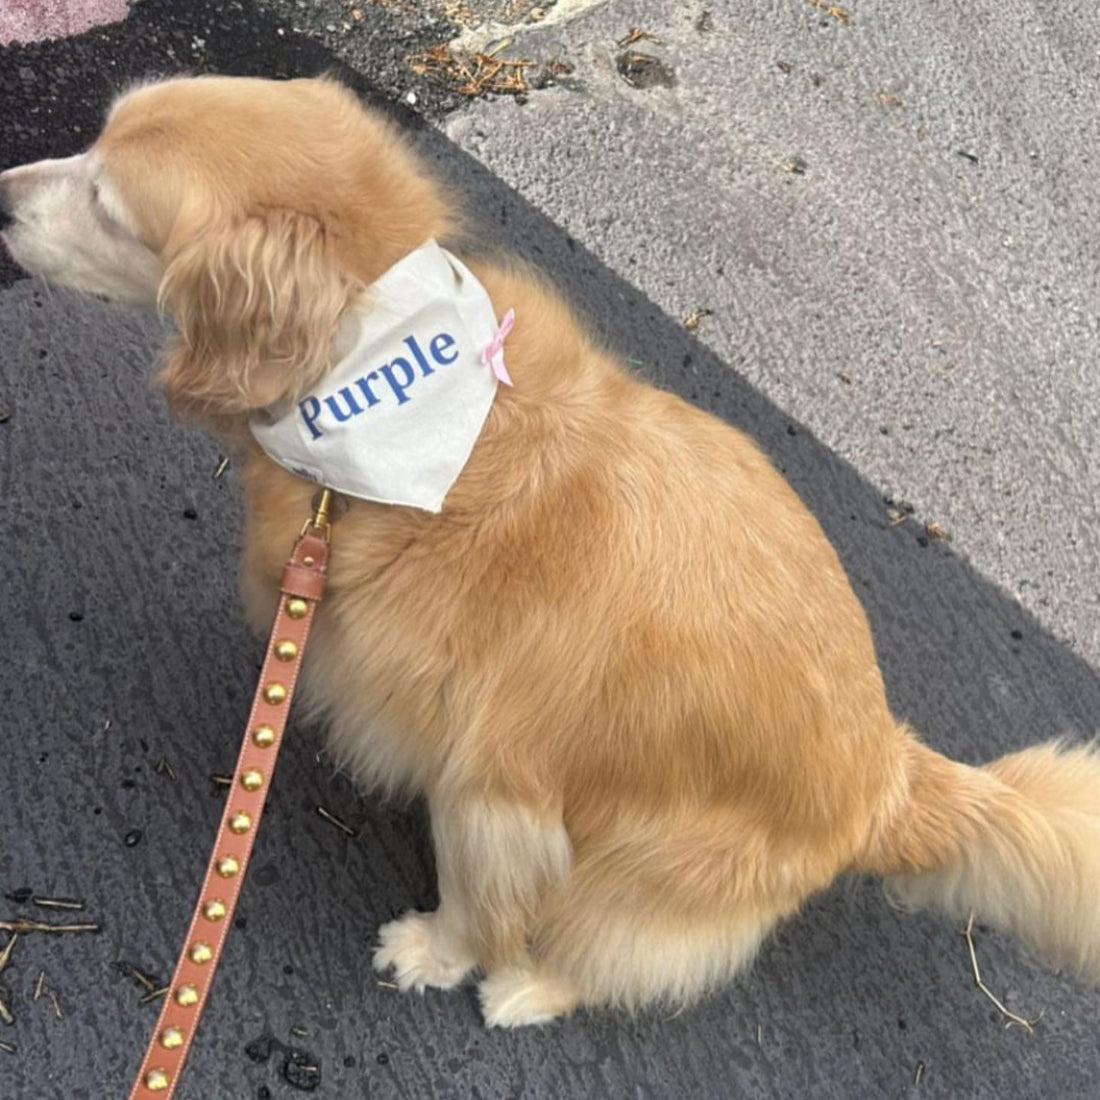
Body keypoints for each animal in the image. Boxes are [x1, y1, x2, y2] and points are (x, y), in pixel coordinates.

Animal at [2, 75, 1100, 1020]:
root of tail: (886, 776)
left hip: (646, 864)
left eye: (106, 201)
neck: (378, 371)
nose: (2, 193)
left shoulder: (496, 790)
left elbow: (483, 899)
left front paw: (438, 951)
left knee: (612, 950)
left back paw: (530, 987)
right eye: (91, 139)